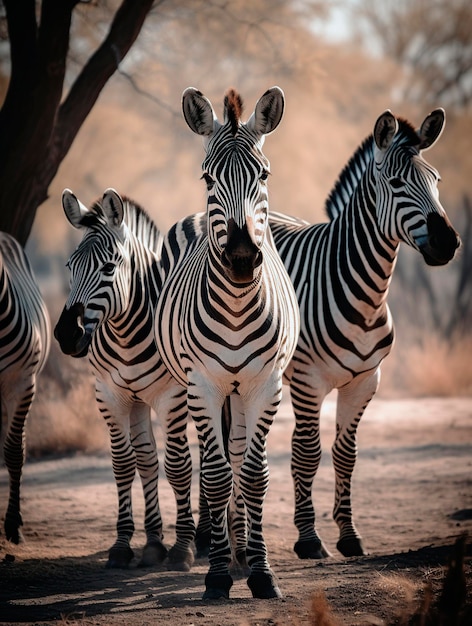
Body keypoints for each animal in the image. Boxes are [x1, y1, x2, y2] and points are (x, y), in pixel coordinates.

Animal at [54, 189, 203, 572]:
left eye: (109, 267)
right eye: (69, 267)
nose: (66, 335)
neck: (126, 332)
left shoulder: (171, 397)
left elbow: (178, 466)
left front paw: (183, 548)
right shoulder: (112, 395)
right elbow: (129, 463)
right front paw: (135, 545)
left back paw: (212, 538)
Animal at [155, 89, 298, 600]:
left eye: (264, 174)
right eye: (207, 177)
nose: (239, 258)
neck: (237, 306)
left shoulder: (265, 385)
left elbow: (252, 475)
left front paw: (260, 571)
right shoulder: (203, 384)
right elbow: (216, 477)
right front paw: (216, 575)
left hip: (239, 392)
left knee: (237, 454)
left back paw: (240, 552)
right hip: (193, 389)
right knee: (202, 459)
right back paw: (210, 550)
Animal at [266, 106, 460, 556]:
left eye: (437, 181)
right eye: (397, 184)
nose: (448, 242)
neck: (365, 295)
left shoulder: (366, 380)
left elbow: (346, 454)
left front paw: (349, 535)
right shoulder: (308, 380)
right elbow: (307, 452)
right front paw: (308, 539)